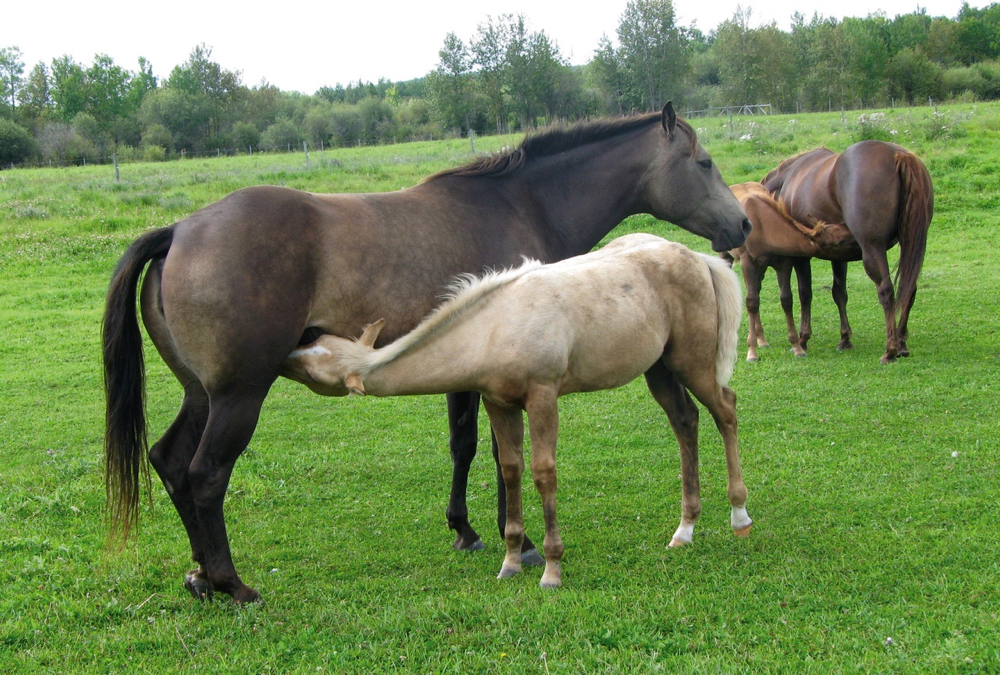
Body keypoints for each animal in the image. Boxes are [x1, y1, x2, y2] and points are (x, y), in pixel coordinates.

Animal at [103, 104, 752, 604]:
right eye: (703, 163)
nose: (743, 225)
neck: (520, 202)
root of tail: (179, 231)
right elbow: (500, 453)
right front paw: (521, 543)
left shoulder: (469, 368)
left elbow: (465, 446)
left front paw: (466, 530)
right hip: (239, 394)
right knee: (206, 473)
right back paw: (233, 585)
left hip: (201, 394)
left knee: (170, 461)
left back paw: (200, 577)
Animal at [728, 182, 860, 362]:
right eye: (840, 242)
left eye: (842, 227)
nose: (861, 246)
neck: (764, 227)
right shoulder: (747, 262)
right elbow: (751, 302)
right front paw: (751, 351)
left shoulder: (784, 263)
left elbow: (786, 299)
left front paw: (797, 346)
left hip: (761, 268)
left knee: (757, 290)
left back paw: (762, 339)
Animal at [760, 141, 932, 364]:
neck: (790, 178)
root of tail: (897, 154)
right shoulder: (838, 255)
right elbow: (839, 292)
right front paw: (844, 339)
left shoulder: (802, 258)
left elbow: (805, 293)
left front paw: (803, 338)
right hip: (909, 244)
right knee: (909, 288)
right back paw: (901, 343)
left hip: (872, 250)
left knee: (886, 291)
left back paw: (890, 349)